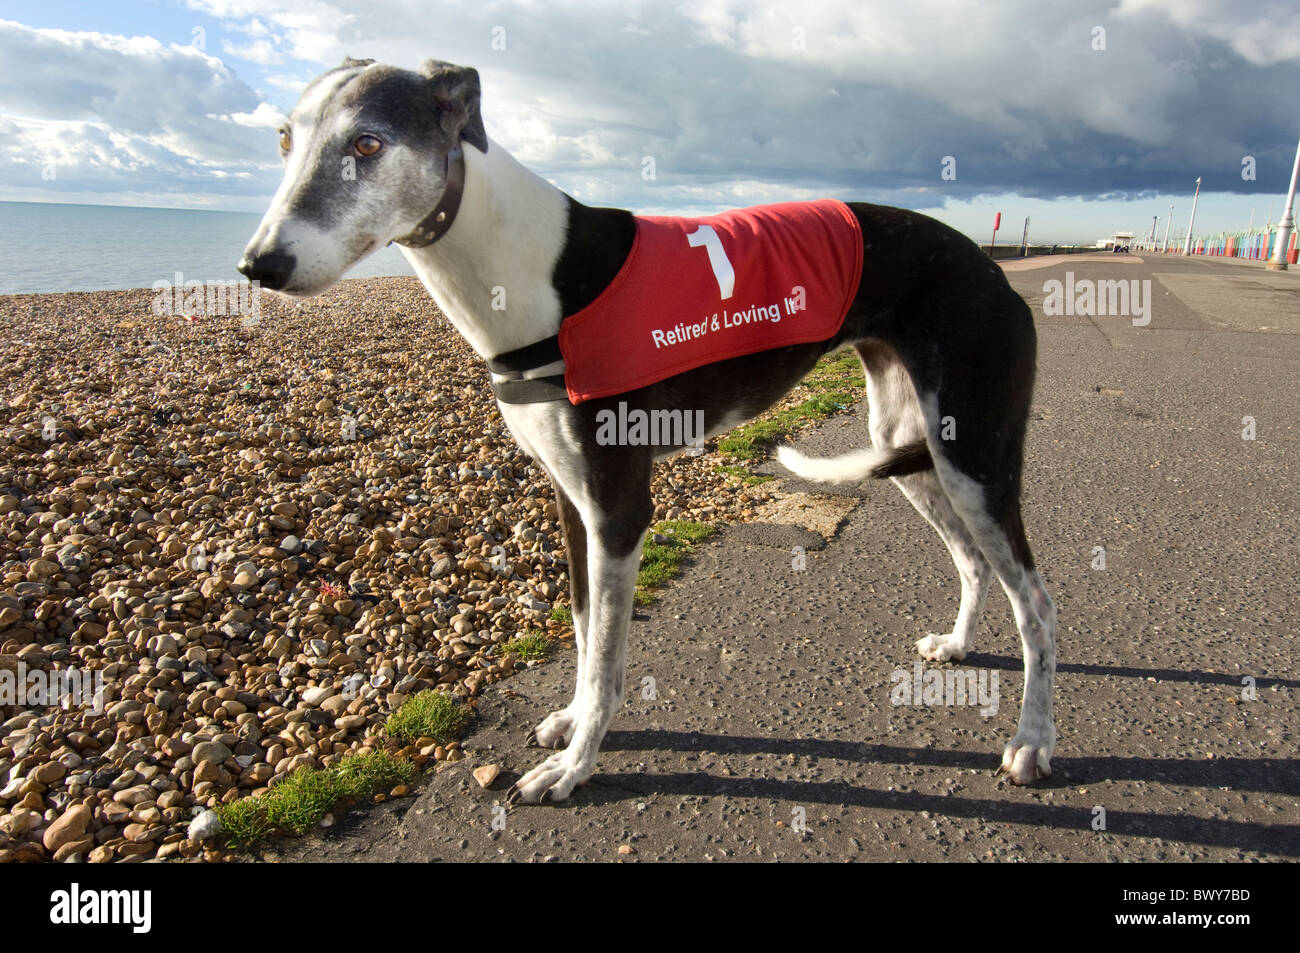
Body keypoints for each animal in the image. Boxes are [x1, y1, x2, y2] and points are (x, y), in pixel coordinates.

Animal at [241, 57, 1055, 800]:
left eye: (368, 142)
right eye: (283, 139)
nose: (257, 265)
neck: (532, 274)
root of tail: (995, 270)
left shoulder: (620, 509)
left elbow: (605, 658)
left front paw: (574, 768)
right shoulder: (571, 503)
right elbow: (583, 633)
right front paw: (571, 725)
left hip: (975, 460)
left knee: (1037, 603)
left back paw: (1032, 742)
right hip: (911, 445)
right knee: (974, 561)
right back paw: (958, 645)